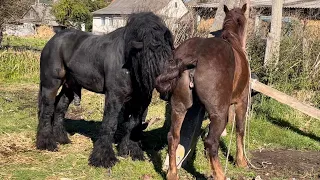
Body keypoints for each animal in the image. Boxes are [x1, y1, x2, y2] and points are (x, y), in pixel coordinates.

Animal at [36, 11, 174, 168]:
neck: (128, 60)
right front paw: (103, 157)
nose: (166, 86)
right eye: (149, 55)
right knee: (47, 110)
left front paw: (130, 151)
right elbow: (110, 124)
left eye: (168, 54)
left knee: (60, 108)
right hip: (51, 84)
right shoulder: (115, 96)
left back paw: (61, 138)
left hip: (69, 86)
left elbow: (133, 124)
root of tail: (53, 40)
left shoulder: (141, 100)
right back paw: (46, 143)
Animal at [156, 4, 249, 180]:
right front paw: (241, 161)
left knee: (173, 137)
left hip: (179, 107)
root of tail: (193, 57)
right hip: (219, 113)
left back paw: (172, 173)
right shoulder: (242, 101)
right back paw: (219, 174)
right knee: (211, 141)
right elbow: (240, 130)